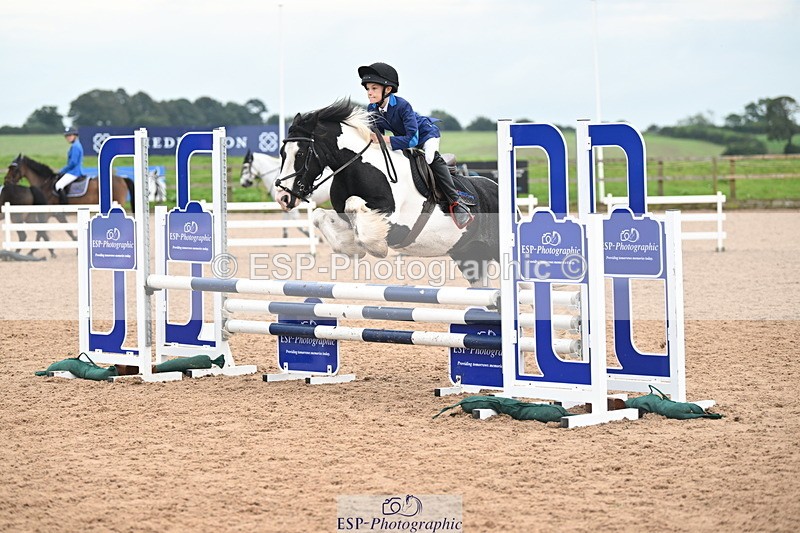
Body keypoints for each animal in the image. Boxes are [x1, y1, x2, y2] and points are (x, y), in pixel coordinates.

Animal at [273, 99, 499, 287]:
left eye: (301, 153)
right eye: (282, 153)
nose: (282, 197)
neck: (357, 166)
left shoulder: (395, 221)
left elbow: (353, 204)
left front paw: (377, 247)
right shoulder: (345, 215)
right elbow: (320, 215)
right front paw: (351, 248)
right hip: (469, 255)